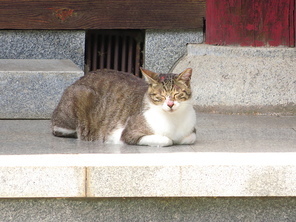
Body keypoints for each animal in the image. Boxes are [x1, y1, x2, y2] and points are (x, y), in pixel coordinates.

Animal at [51, 68, 197, 147]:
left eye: (177, 94)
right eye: (160, 96)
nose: (170, 104)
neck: (174, 120)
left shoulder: (192, 131)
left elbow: (190, 138)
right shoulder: (129, 134)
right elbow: (167, 140)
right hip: (78, 98)